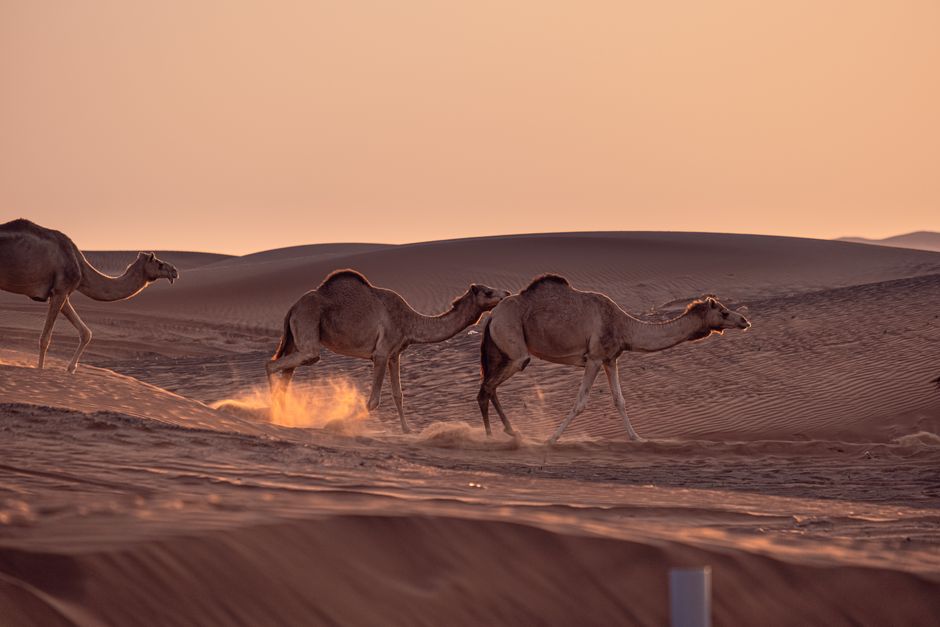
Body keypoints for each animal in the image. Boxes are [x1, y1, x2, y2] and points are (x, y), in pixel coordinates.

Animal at [0, 219, 179, 372]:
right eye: (159, 263)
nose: (175, 270)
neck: (80, 266)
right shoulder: (61, 290)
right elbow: (45, 339)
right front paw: (40, 370)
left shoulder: (59, 293)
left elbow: (86, 333)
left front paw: (71, 369)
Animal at [266, 269, 510, 433]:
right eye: (488, 292)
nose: (506, 292)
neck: (410, 322)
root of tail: (293, 307)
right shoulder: (381, 353)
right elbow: (373, 401)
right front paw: (339, 423)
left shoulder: (395, 354)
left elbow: (398, 394)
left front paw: (407, 430)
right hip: (307, 327)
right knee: (274, 364)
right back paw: (271, 411)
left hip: (295, 337)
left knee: (287, 374)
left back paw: (283, 415)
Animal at [477, 274, 751, 443]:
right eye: (724, 312)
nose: (745, 321)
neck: (624, 326)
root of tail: (491, 316)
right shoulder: (595, 358)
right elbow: (580, 403)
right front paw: (552, 438)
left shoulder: (611, 359)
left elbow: (620, 400)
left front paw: (637, 438)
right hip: (514, 345)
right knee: (489, 386)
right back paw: (495, 436)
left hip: (499, 349)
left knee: (488, 388)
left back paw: (508, 432)